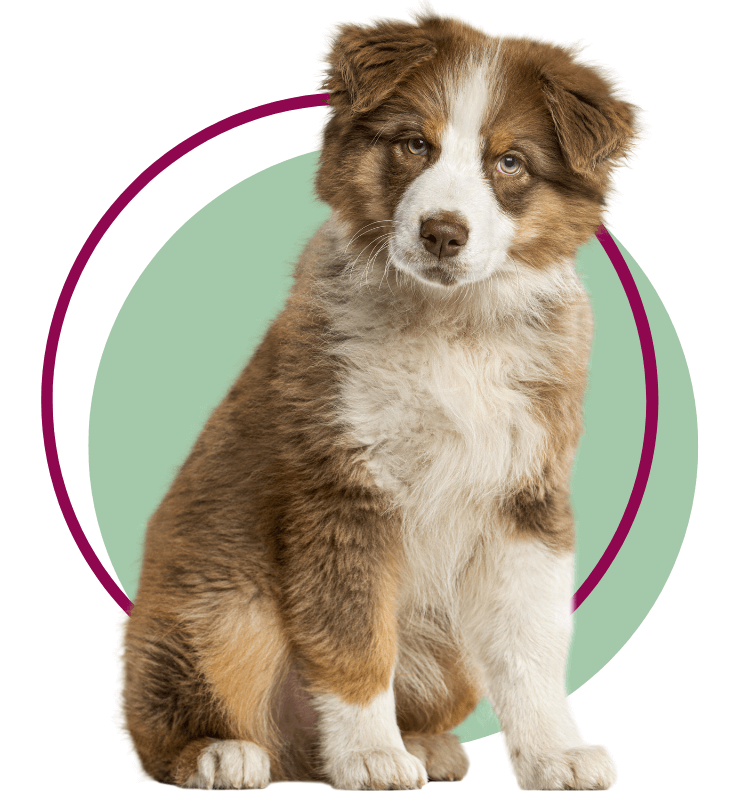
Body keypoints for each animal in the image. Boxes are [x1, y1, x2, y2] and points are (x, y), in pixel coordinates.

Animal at [123, 12, 636, 792]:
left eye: (509, 162)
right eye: (414, 144)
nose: (442, 233)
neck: (453, 329)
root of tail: (297, 755)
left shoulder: (527, 497)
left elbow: (533, 644)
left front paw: (554, 753)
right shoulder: (343, 491)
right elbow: (353, 635)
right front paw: (369, 755)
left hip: (445, 648)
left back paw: (423, 744)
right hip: (226, 613)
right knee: (167, 723)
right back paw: (222, 752)